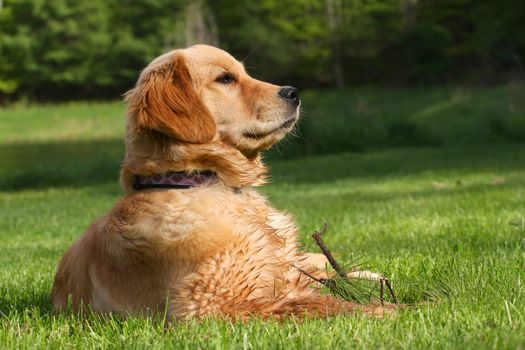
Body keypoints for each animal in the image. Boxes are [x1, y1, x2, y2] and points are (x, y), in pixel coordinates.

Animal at [51, 44, 390, 320]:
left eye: (244, 72)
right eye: (226, 79)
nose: (293, 93)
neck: (206, 181)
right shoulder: (211, 303)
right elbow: (311, 303)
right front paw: (387, 310)